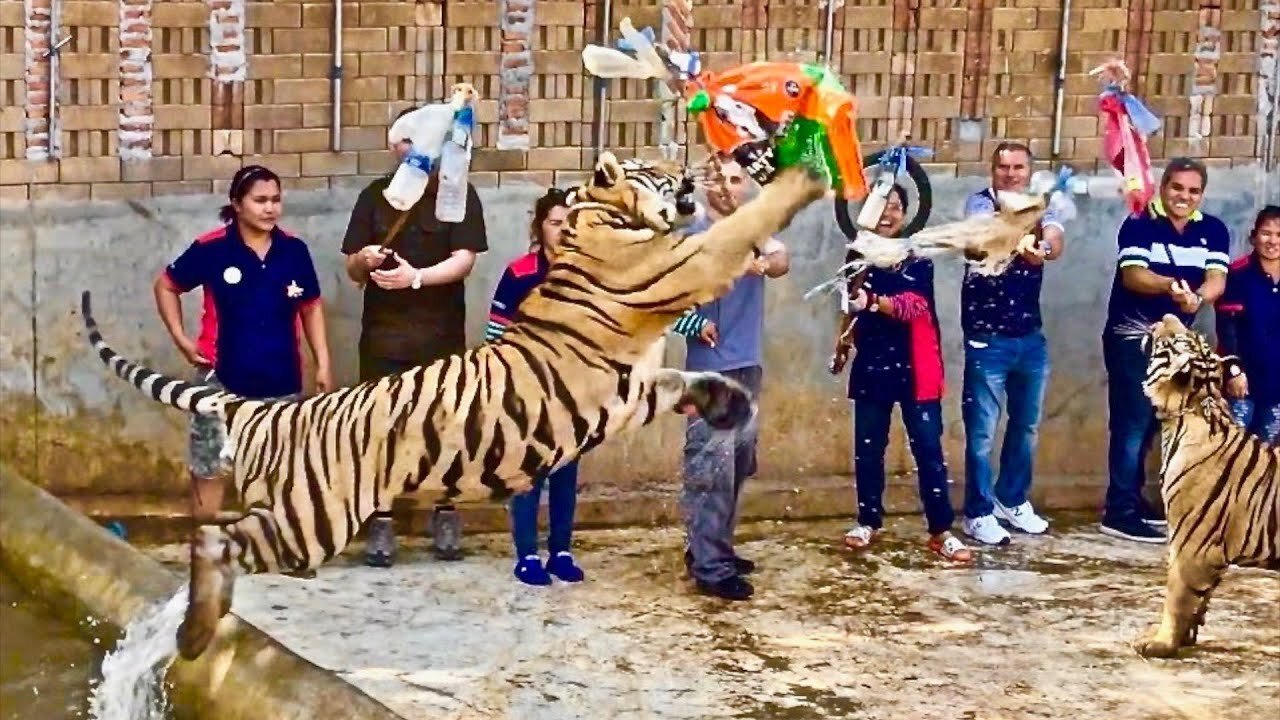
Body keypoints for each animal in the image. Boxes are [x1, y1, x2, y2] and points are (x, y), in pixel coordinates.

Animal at [80, 152, 824, 661]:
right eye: (657, 171)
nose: (695, 173)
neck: (598, 218)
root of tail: (278, 409)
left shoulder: (633, 387)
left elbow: (682, 384)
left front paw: (728, 402)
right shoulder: (681, 268)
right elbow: (738, 229)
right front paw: (806, 174)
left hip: (294, 512)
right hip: (312, 518)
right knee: (212, 539)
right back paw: (194, 632)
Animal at [1136, 312, 1274, 655]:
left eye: (1177, 338)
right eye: (1195, 337)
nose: (1166, 314)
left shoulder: (1192, 544)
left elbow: (1176, 596)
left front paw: (1160, 644)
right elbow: (1199, 600)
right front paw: (1185, 637)